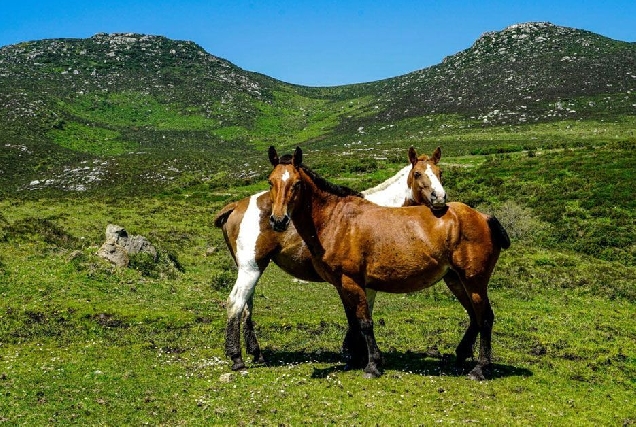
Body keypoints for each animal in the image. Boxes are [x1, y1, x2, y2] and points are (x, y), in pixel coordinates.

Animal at [268, 148, 512, 382]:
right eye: (271, 182)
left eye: (297, 184)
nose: (278, 221)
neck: (337, 220)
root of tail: (484, 216)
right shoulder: (341, 284)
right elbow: (353, 322)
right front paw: (354, 359)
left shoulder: (353, 282)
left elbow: (365, 322)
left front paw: (373, 365)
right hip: (456, 281)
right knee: (474, 317)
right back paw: (460, 358)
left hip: (474, 282)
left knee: (485, 318)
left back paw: (480, 369)